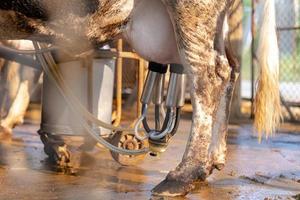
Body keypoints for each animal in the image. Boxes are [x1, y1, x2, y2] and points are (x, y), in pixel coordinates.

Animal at [0, 0, 282, 197]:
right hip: (215, 25)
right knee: (230, 66)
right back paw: (214, 159)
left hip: (192, 11)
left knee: (208, 75)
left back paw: (180, 177)